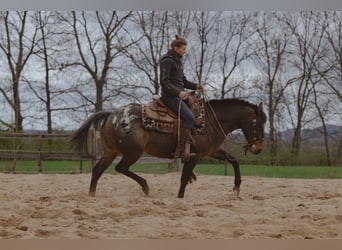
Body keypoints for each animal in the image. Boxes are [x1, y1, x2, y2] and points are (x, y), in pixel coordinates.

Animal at [70, 94, 268, 198]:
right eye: (258, 124)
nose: (258, 148)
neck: (210, 121)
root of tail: (111, 114)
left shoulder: (211, 151)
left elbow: (234, 160)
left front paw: (237, 187)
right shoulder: (195, 156)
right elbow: (184, 177)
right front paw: (180, 198)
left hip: (110, 152)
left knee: (98, 170)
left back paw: (91, 195)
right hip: (133, 152)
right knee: (121, 168)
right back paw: (145, 186)